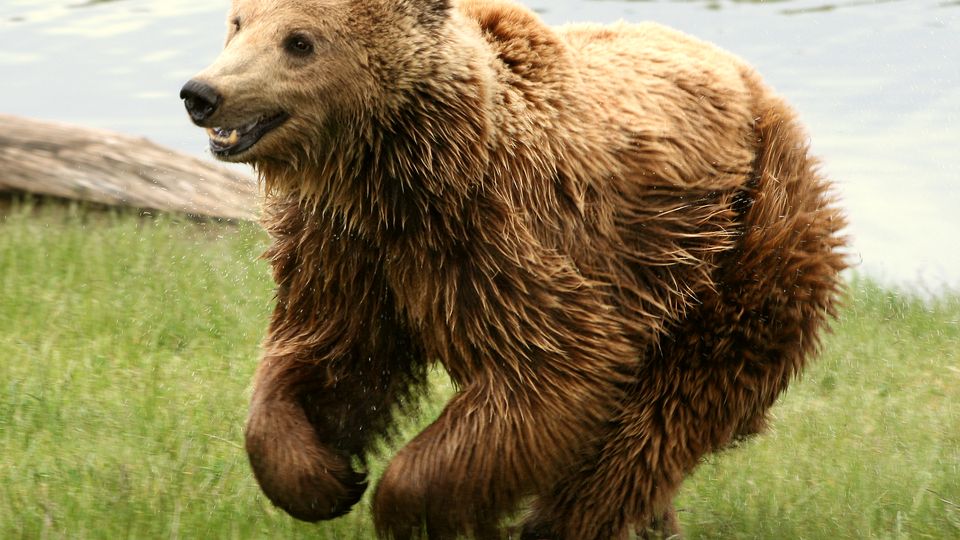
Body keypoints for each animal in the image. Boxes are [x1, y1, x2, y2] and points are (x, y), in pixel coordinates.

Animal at [180, 0, 848, 538]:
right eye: (238, 23)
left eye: (300, 40)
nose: (201, 93)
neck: (396, 173)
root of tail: (758, 87)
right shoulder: (345, 251)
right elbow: (330, 356)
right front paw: (325, 476)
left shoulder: (506, 238)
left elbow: (551, 372)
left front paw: (405, 507)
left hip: (737, 245)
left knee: (664, 416)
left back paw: (562, 521)